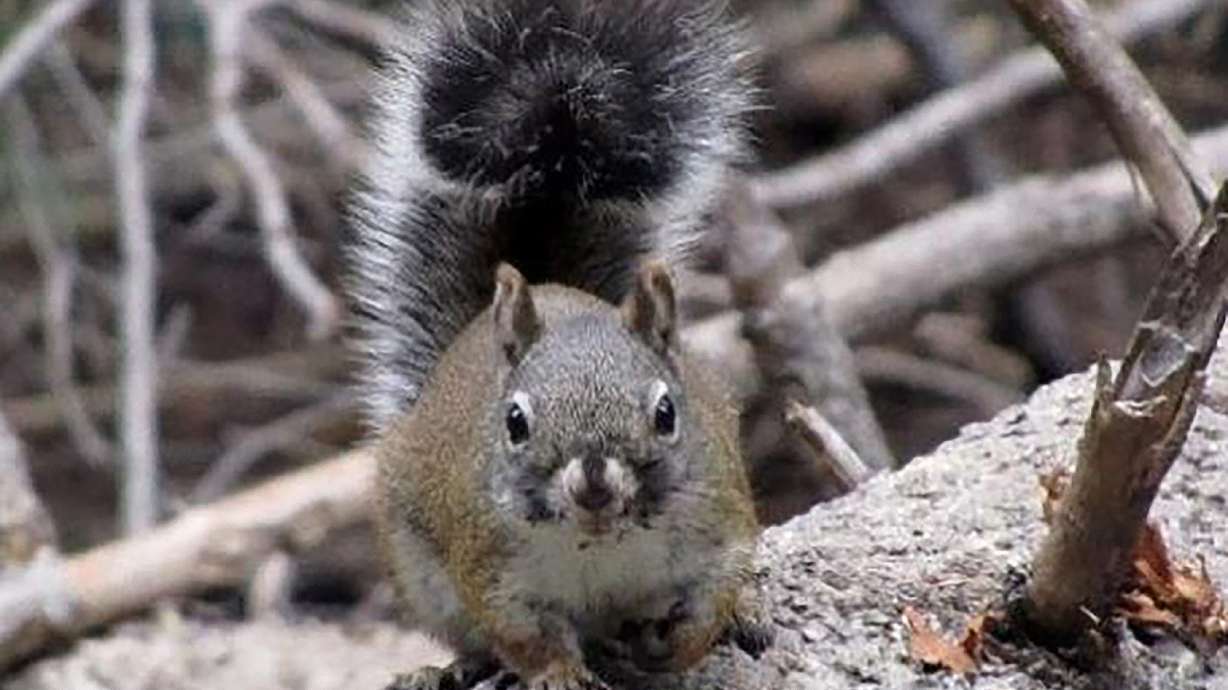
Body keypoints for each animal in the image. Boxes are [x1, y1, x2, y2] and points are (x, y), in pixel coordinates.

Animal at [347, 1, 766, 689]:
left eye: (666, 413)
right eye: (515, 422)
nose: (593, 481)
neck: (599, 537)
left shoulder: (718, 520)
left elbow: (714, 594)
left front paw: (689, 639)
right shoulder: (493, 572)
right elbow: (525, 635)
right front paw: (558, 674)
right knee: (470, 640)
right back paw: (452, 668)